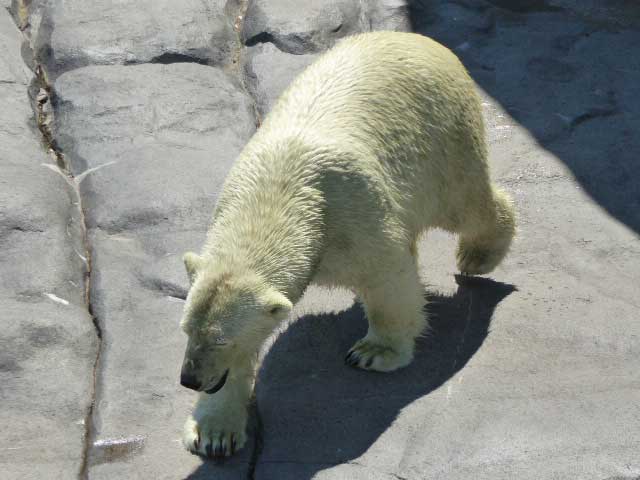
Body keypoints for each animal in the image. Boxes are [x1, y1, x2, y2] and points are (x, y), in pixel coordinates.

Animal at [179, 30, 516, 458]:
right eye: (187, 329)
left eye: (221, 337)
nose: (189, 379)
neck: (276, 192)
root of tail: (418, 39)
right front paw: (214, 433)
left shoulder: (352, 208)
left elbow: (389, 276)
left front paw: (375, 352)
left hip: (443, 139)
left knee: (467, 204)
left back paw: (478, 254)